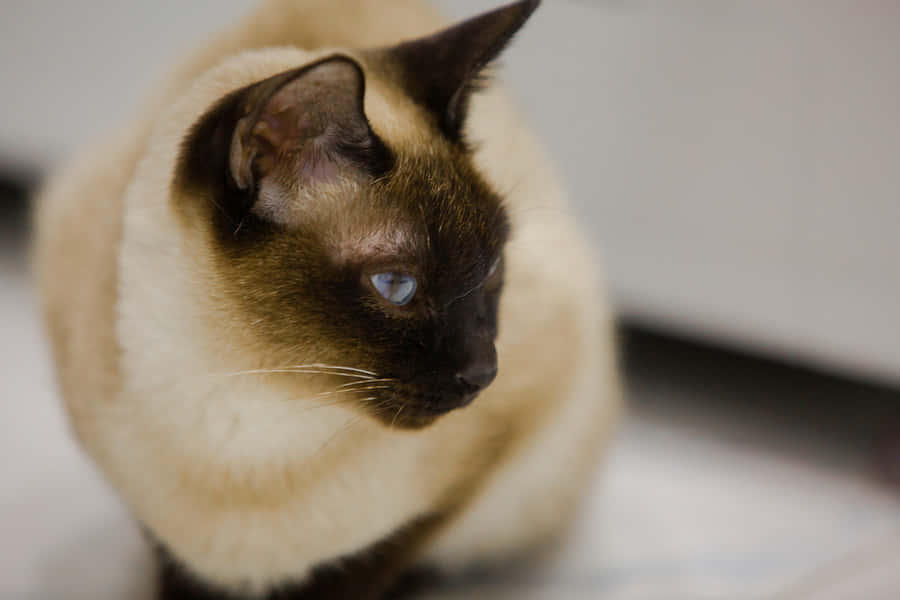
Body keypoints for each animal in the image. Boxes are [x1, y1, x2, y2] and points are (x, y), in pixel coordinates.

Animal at [29, 0, 620, 596]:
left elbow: (369, 563)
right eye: (396, 286)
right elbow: (173, 564)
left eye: (495, 268)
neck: (245, 412)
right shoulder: (153, 521)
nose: (485, 373)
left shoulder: (496, 445)